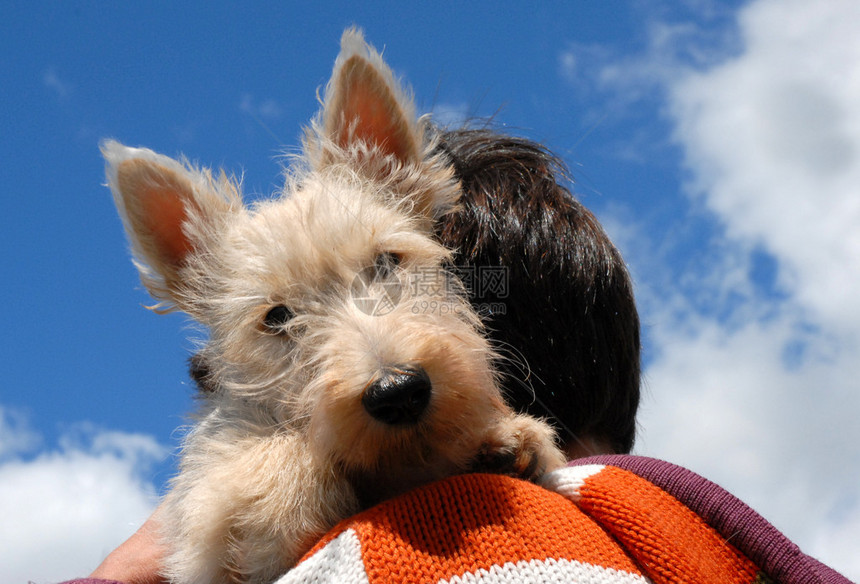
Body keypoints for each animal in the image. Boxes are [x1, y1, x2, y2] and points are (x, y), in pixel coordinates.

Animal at [102, 28, 564, 584]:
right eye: (276, 317)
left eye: (387, 261)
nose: (398, 392)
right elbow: (249, 479)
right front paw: (282, 499)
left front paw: (512, 439)